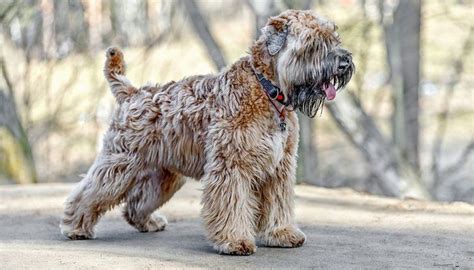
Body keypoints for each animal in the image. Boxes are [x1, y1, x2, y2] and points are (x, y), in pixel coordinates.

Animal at [60, 9, 352, 255]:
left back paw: (149, 222)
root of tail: (132, 93)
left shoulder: (279, 168)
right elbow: (232, 205)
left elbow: (278, 203)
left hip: (164, 176)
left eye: (333, 37)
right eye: (313, 43)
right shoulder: (231, 166)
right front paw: (234, 241)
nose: (345, 62)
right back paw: (75, 227)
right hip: (119, 165)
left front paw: (281, 233)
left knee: (136, 204)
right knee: (89, 193)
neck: (267, 90)